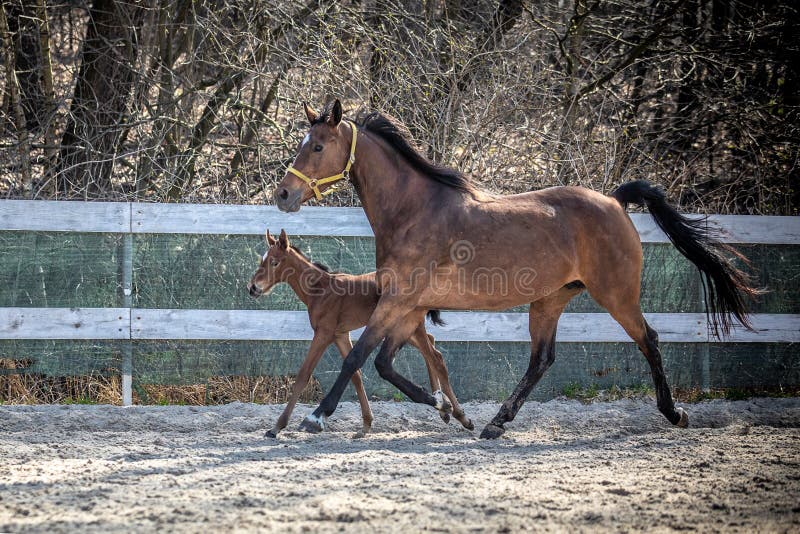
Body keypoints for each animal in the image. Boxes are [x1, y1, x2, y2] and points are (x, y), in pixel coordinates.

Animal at [250, 230, 472, 440]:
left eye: (274, 262)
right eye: (262, 260)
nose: (252, 288)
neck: (320, 290)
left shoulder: (324, 333)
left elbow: (304, 375)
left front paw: (277, 427)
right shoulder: (340, 335)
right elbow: (355, 374)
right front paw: (366, 424)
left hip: (406, 326)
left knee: (436, 357)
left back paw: (454, 412)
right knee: (433, 349)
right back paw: (445, 409)